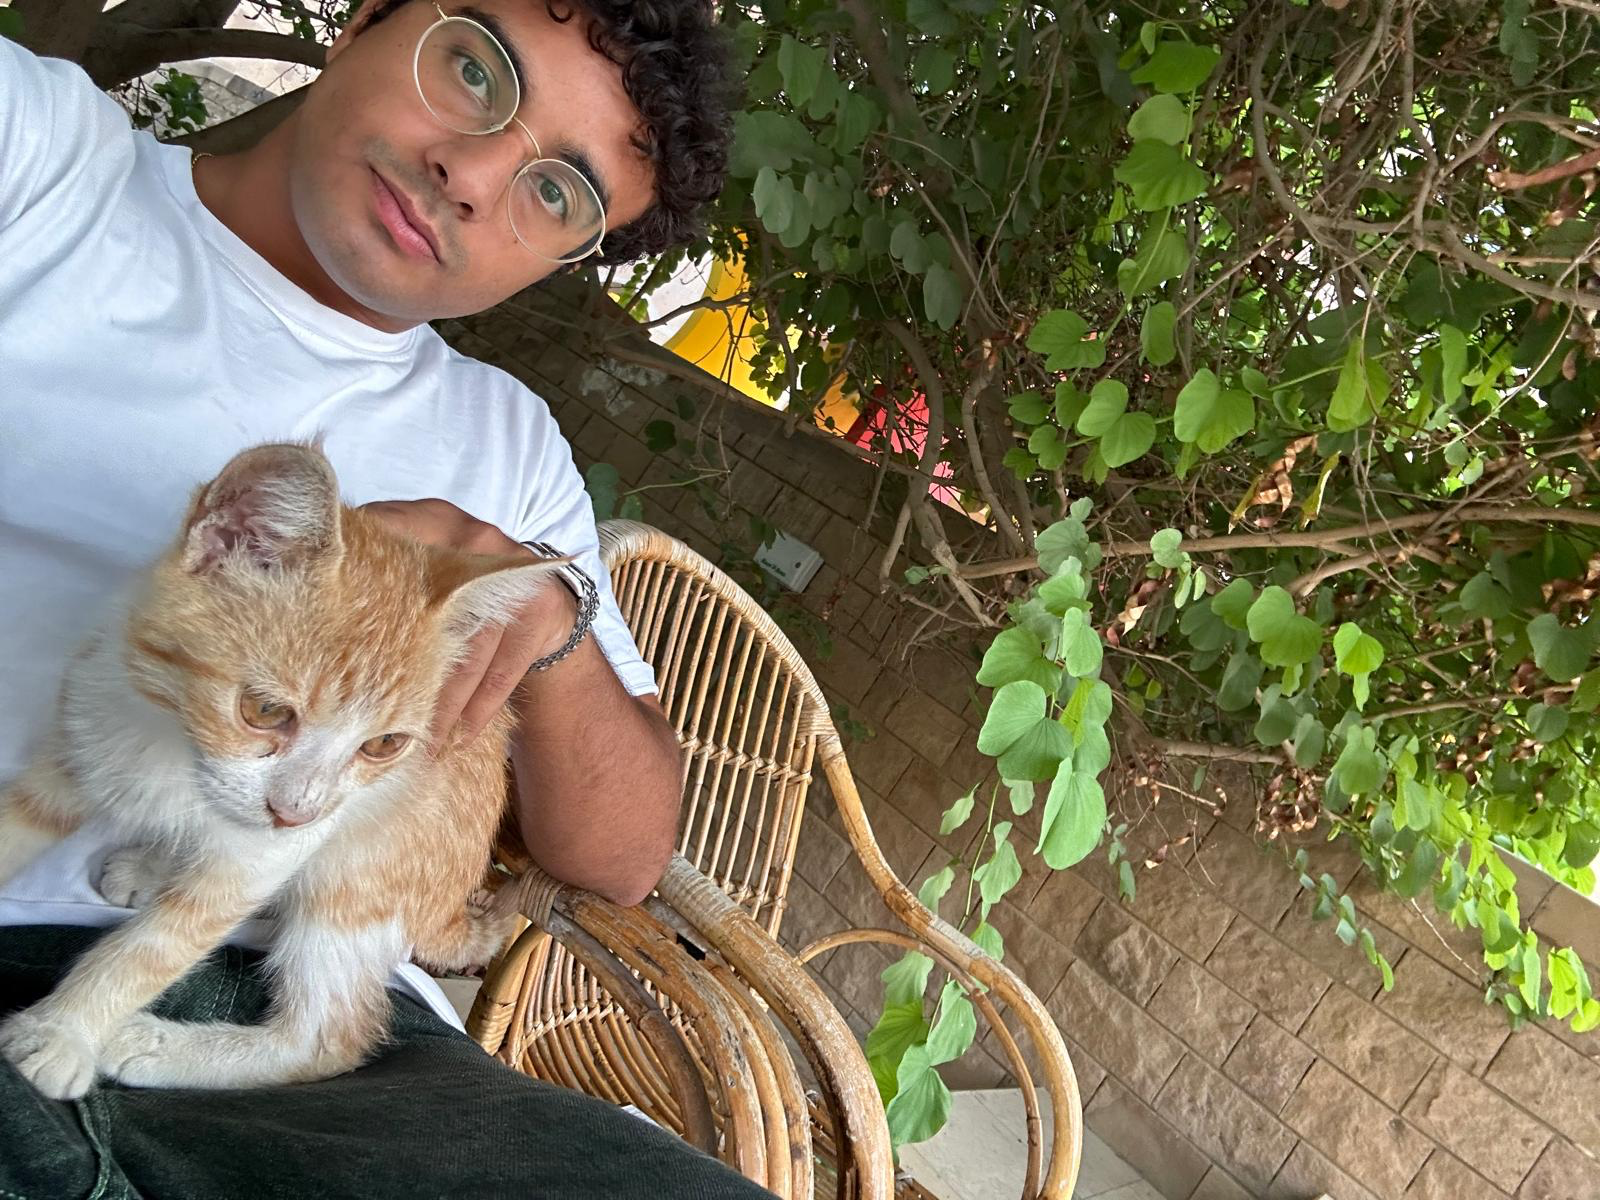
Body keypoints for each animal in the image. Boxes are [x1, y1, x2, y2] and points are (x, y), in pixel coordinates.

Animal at [0, 441, 563, 1100]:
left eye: (385, 745)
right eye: (266, 711)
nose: (294, 811)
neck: (173, 742)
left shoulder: (280, 846)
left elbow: (160, 944)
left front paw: (66, 1031)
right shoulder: (77, 741)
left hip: (363, 877)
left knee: (330, 1038)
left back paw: (157, 1044)